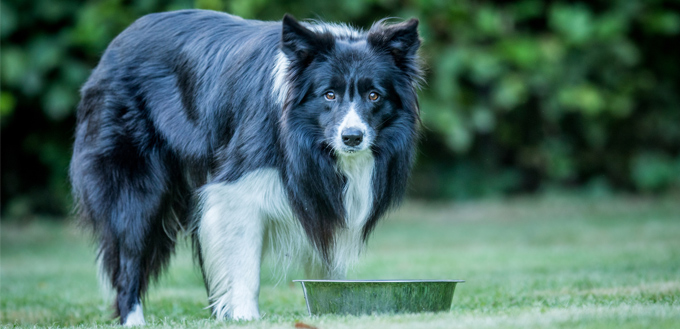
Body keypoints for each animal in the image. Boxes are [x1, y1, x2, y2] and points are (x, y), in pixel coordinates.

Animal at [69, 9, 420, 324]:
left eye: (374, 95)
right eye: (329, 95)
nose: (352, 138)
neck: (304, 138)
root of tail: (114, 46)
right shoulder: (237, 186)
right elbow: (243, 261)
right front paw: (245, 316)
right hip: (135, 183)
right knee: (129, 251)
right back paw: (134, 318)